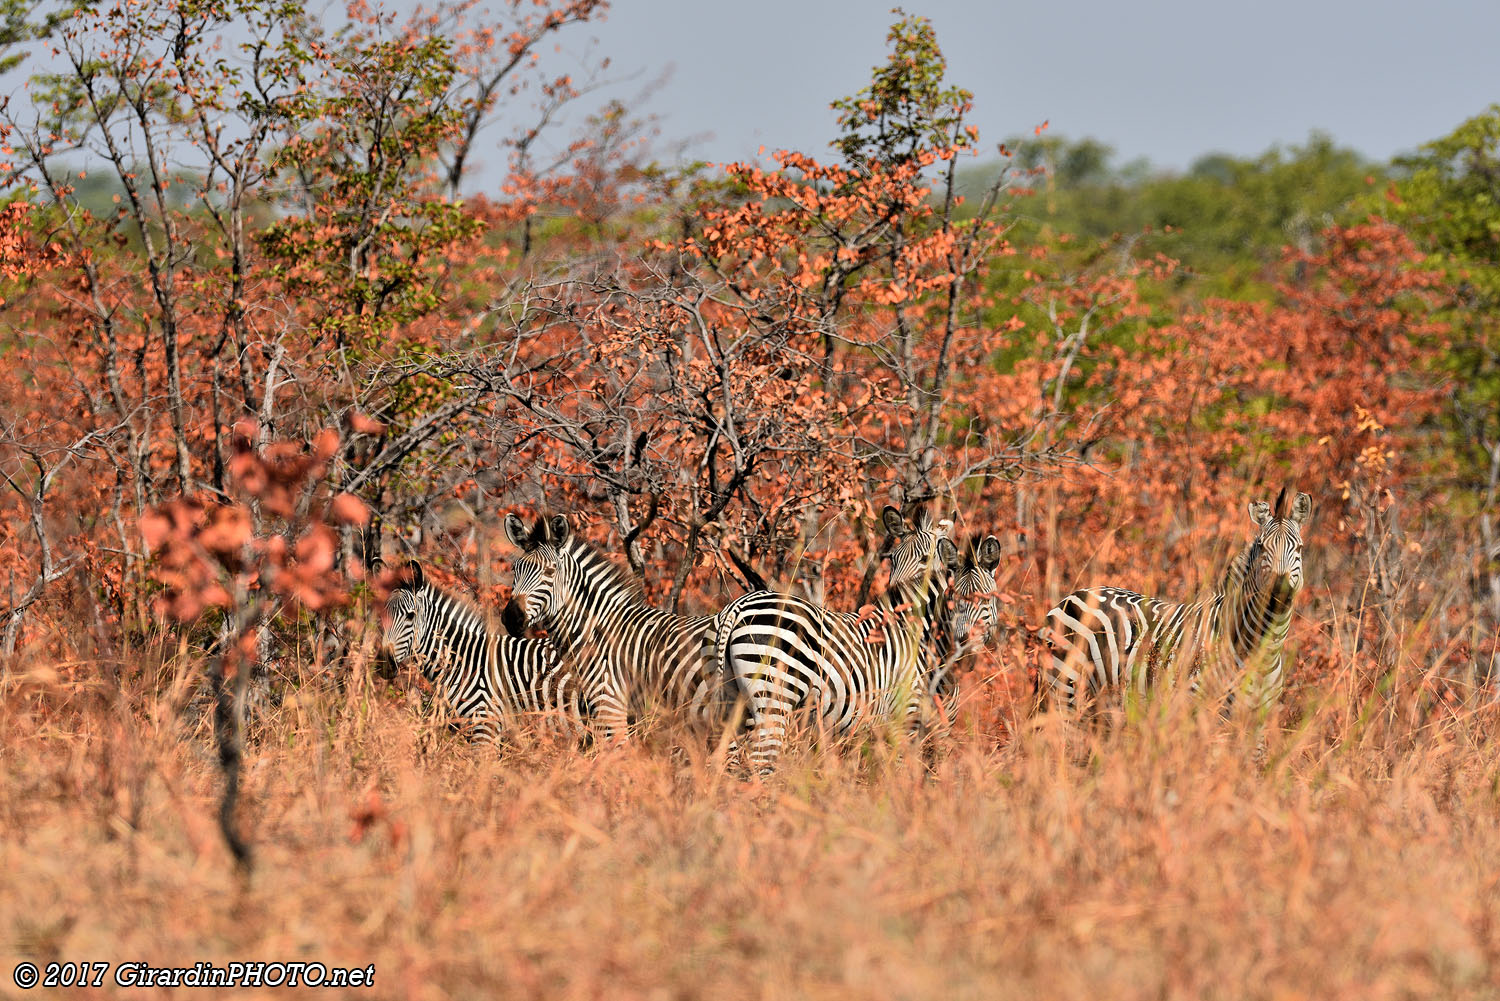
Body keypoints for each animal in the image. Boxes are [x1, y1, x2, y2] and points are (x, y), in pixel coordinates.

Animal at [1044, 489, 1314, 717]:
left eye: (1299, 549)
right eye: (1262, 547)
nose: (1279, 591)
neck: (1263, 649)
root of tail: (1075, 593)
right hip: (1064, 687)